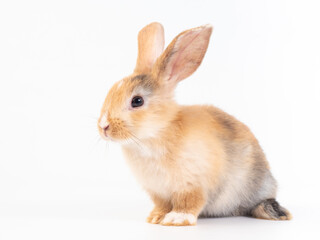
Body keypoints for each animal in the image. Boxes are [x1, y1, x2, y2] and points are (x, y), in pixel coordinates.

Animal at [98, 22, 292, 225]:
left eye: (137, 101)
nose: (103, 126)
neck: (157, 132)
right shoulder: (158, 192)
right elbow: (162, 205)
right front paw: (155, 218)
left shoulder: (192, 184)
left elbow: (189, 202)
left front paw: (176, 219)